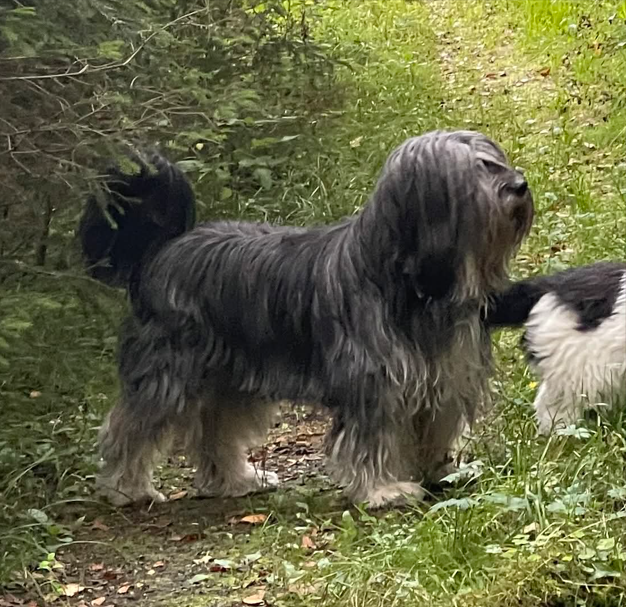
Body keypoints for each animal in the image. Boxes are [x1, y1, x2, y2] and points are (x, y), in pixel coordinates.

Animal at [79, 131, 533, 508]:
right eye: (479, 169)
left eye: (496, 160)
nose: (520, 185)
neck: (411, 285)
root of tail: (159, 251)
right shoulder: (375, 385)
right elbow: (373, 440)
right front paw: (383, 490)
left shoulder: (444, 377)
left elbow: (434, 430)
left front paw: (441, 472)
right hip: (168, 373)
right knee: (131, 427)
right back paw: (125, 487)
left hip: (231, 380)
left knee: (215, 433)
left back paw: (236, 480)